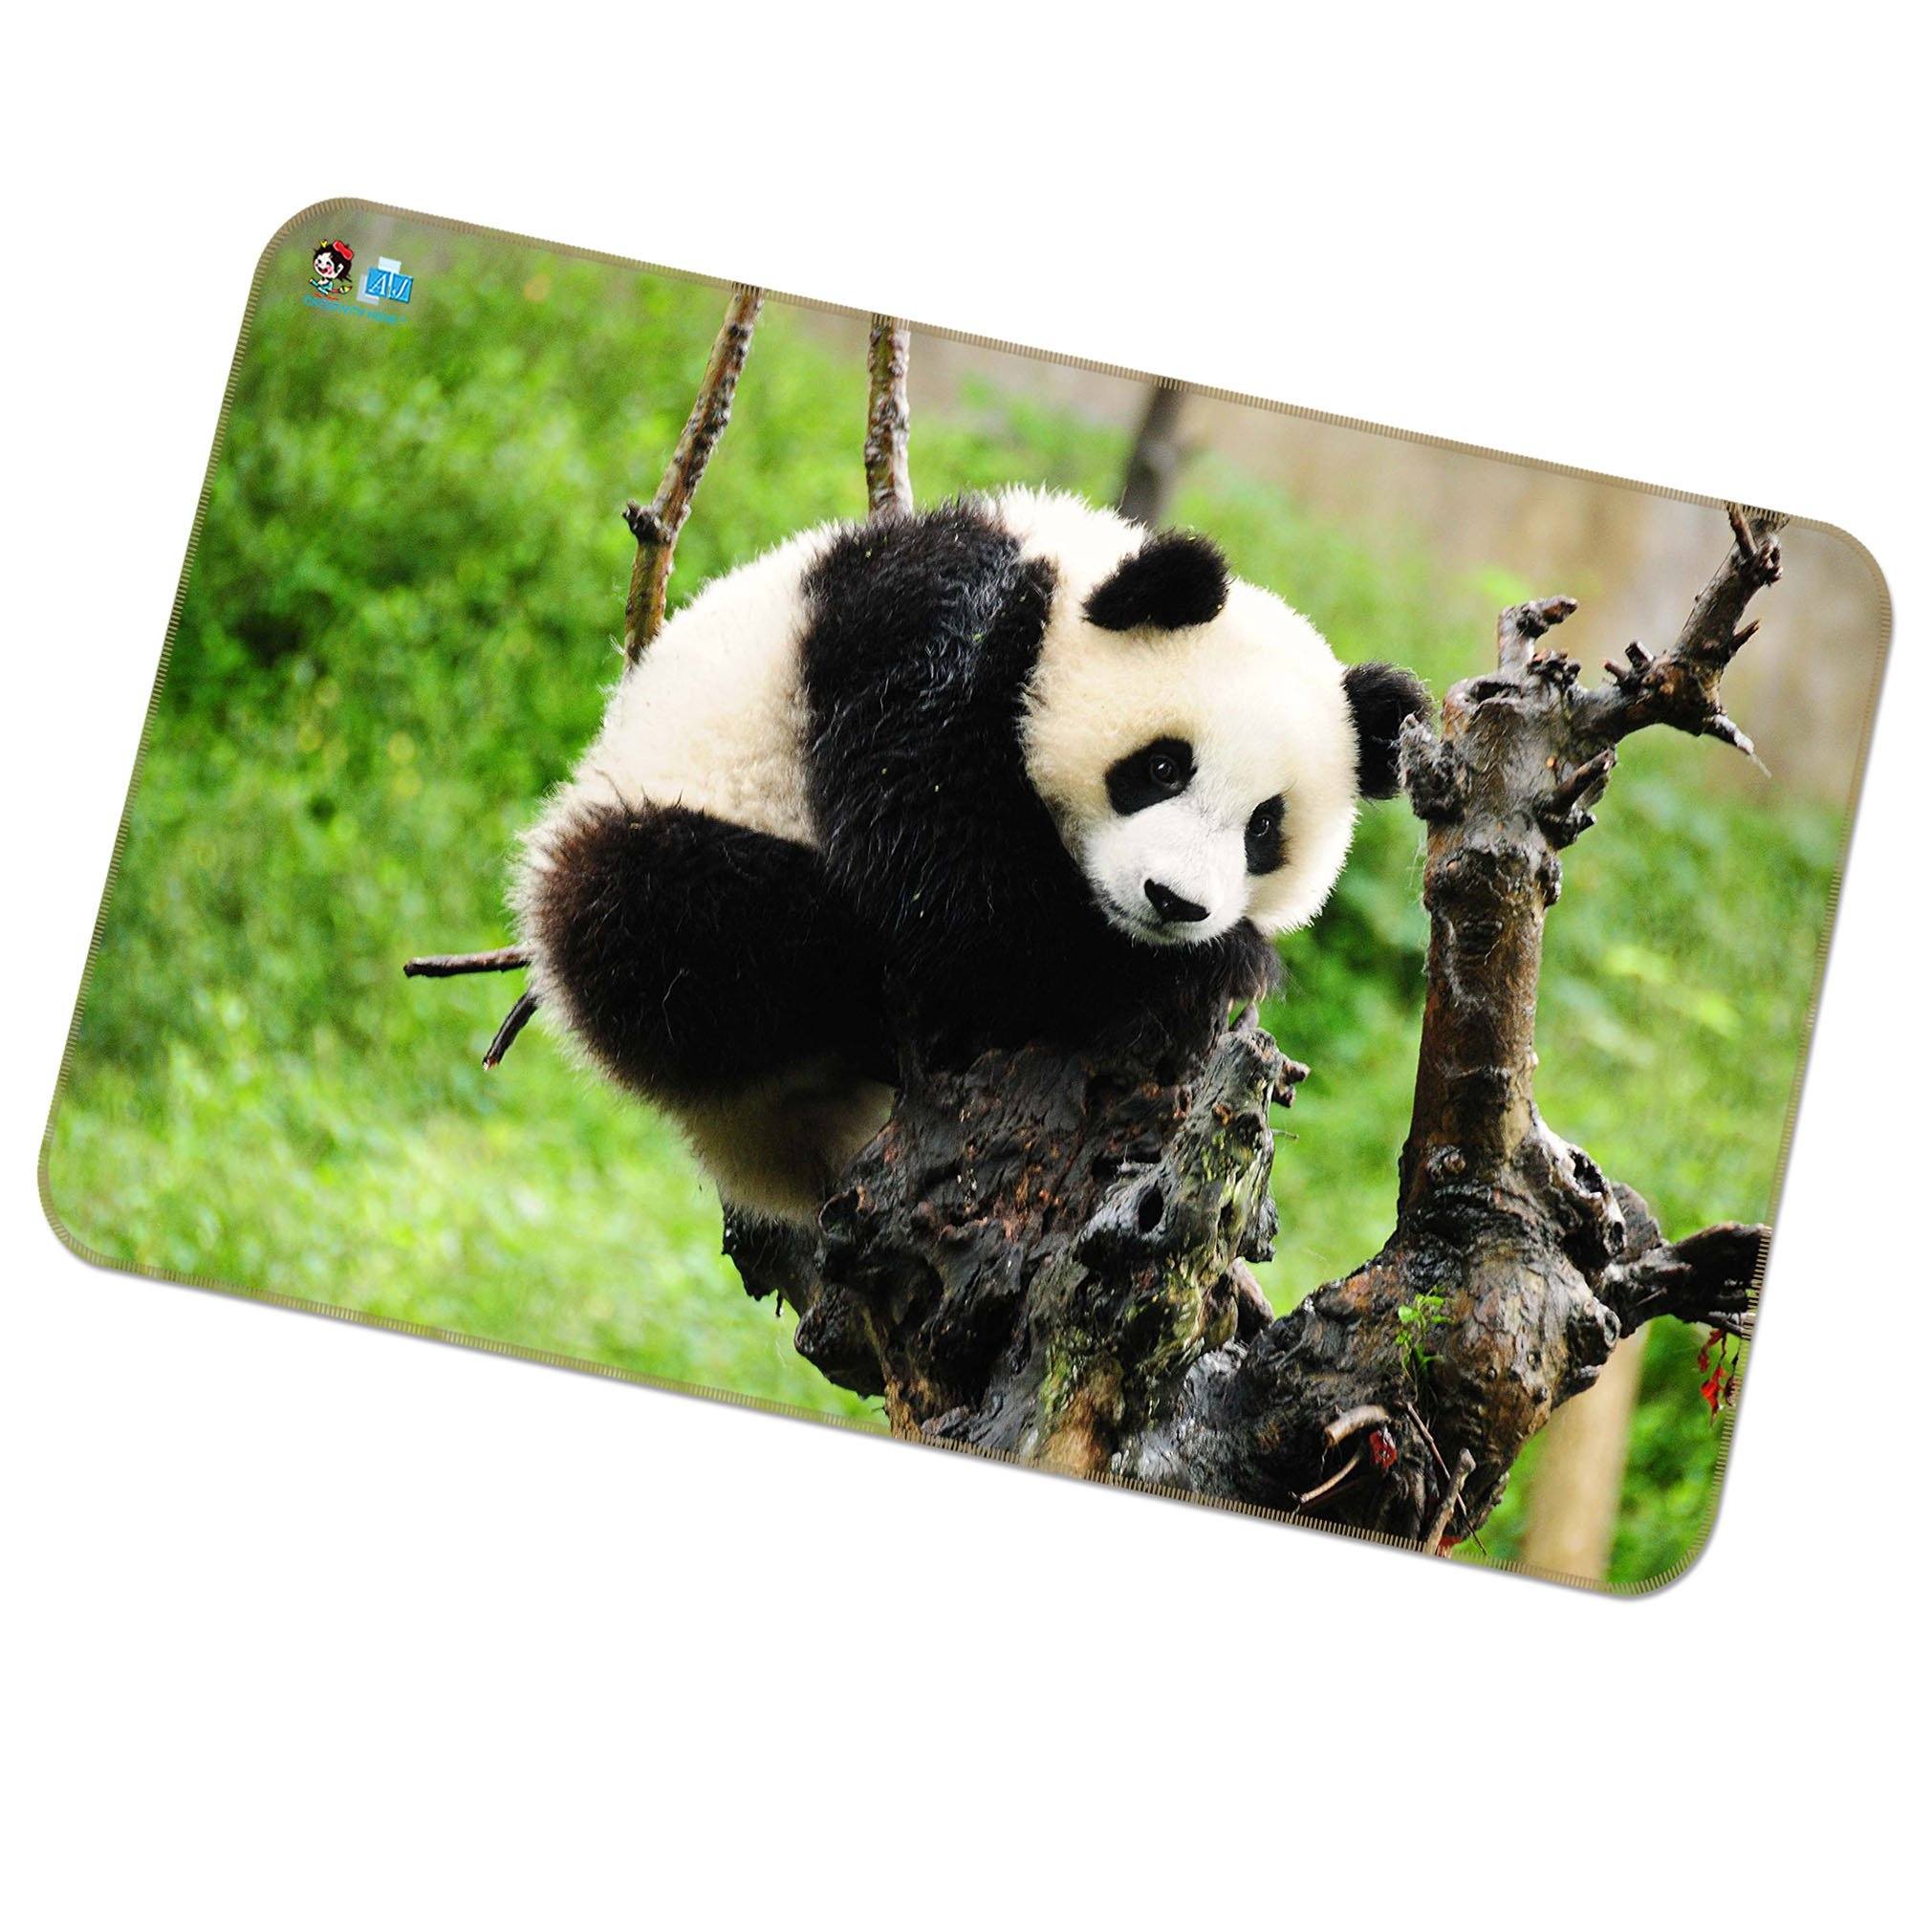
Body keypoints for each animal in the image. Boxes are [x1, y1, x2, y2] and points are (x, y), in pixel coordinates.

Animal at [514, 488, 1429, 1222]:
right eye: (1162, 767)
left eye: (1263, 830)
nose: (1174, 903)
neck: (1059, 583)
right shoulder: (924, 637)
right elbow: (952, 887)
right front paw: (1217, 967)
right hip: (654, 840)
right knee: (670, 923)